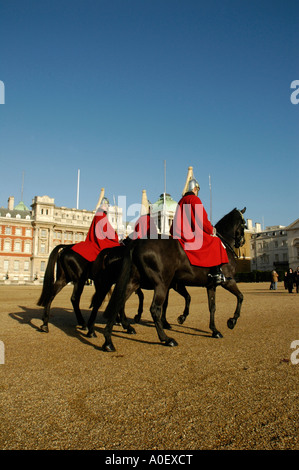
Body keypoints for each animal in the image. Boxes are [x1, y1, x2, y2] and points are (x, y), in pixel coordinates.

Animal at [99, 207, 247, 350]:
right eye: (243, 224)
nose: (242, 242)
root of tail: (137, 244)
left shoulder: (209, 285)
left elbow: (212, 307)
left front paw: (214, 330)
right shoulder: (228, 281)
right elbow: (240, 297)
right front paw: (232, 321)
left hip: (134, 282)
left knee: (119, 302)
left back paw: (109, 340)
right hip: (161, 284)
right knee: (154, 309)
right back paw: (166, 339)